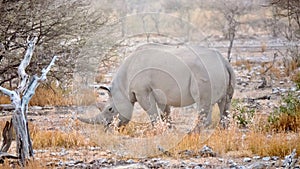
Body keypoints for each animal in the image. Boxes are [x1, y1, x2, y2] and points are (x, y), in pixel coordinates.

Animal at [78, 44, 236, 131]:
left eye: (110, 109)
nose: (107, 128)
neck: (122, 87)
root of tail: (224, 61)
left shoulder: (142, 92)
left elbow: (152, 113)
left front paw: (156, 130)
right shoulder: (160, 93)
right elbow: (165, 113)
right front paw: (169, 130)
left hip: (204, 72)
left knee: (203, 102)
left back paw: (190, 134)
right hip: (218, 70)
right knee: (224, 102)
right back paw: (222, 132)